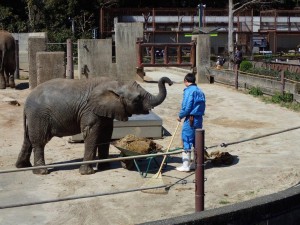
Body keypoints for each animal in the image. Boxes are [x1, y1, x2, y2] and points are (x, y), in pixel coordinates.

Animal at [15, 76, 172, 175]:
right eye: (138, 98)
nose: (169, 82)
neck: (114, 83)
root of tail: (26, 102)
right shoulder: (90, 111)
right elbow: (92, 134)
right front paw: (87, 173)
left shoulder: (106, 110)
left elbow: (106, 134)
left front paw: (104, 166)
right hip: (39, 116)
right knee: (39, 141)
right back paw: (41, 172)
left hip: (34, 118)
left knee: (28, 139)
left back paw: (22, 166)